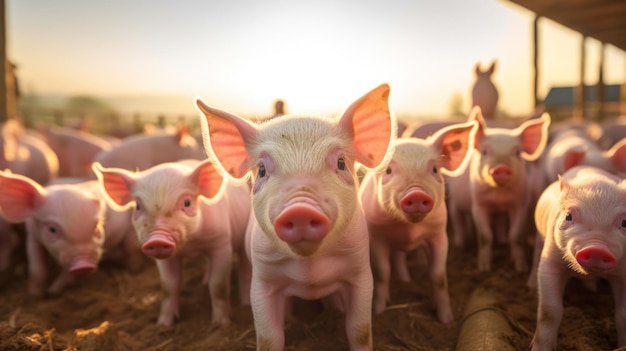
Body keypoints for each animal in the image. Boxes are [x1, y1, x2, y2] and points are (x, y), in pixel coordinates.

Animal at [92, 160, 249, 330]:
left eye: (187, 203)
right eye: (138, 206)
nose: (157, 239)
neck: (191, 245)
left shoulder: (222, 243)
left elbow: (218, 285)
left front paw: (221, 325)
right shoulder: (164, 258)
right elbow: (169, 286)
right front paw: (163, 325)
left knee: (245, 266)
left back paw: (246, 303)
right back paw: (204, 281)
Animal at [195, 84, 392, 350]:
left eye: (341, 163)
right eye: (262, 170)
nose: (300, 209)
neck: (309, 272)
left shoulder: (360, 270)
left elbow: (359, 329)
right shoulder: (263, 279)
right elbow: (269, 337)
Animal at [358, 121, 476, 324]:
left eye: (434, 169)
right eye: (388, 170)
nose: (416, 193)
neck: (408, 229)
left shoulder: (439, 234)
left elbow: (438, 276)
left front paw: (447, 319)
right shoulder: (377, 236)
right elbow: (382, 272)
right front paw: (379, 311)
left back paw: (406, 279)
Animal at [528, 166, 624, 351]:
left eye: (625, 223)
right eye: (568, 216)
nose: (596, 248)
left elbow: (622, 315)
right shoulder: (550, 260)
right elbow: (550, 310)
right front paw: (538, 348)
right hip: (539, 237)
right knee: (535, 257)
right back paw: (530, 285)